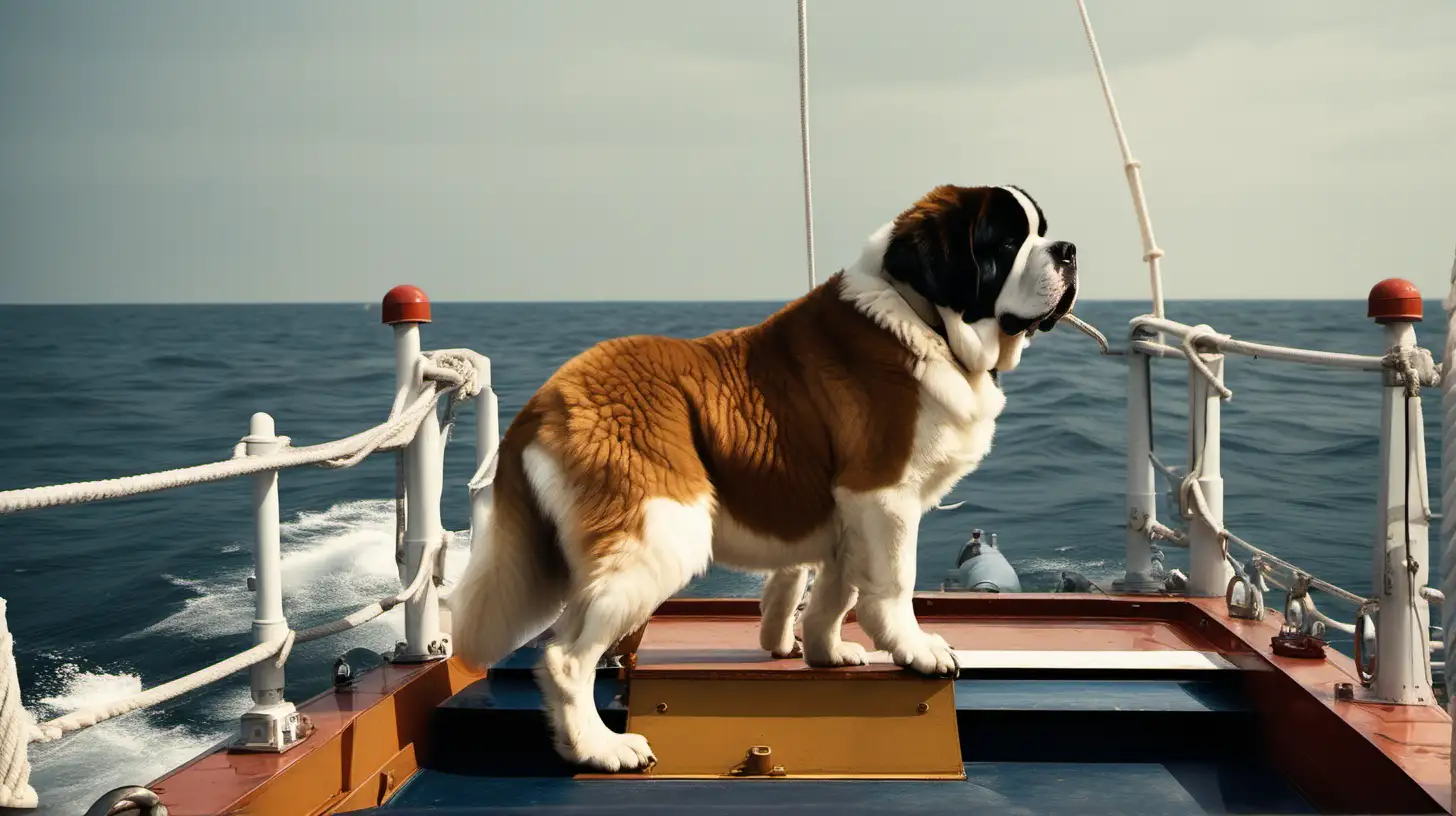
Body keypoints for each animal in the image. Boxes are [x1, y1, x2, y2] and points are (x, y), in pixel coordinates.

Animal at [448, 183, 1077, 769]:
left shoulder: (851, 508)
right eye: (1006, 242)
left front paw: (824, 650)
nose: (1068, 250)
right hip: (660, 535)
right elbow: (894, 581)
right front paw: (917, 649)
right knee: (566, 657)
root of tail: (545, 400)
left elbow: (837, 587)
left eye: (1043, 231)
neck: (922, 318)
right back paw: (599, 750)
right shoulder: (883, 494)